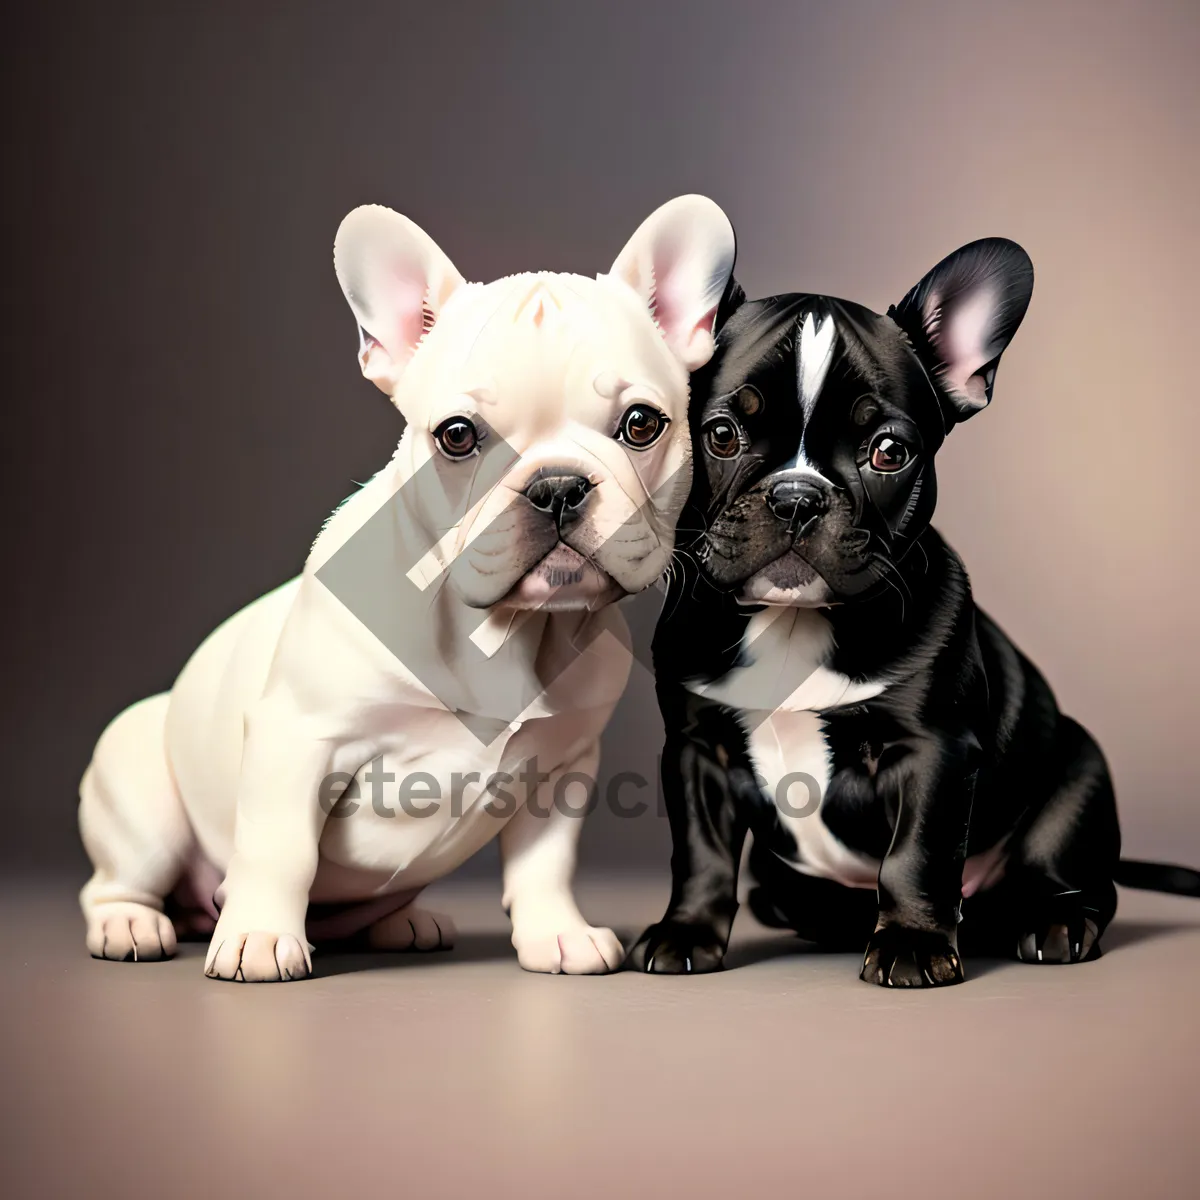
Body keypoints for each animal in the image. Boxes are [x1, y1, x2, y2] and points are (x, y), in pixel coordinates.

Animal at [79, 196, 734, 979]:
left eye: (641, 425)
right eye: (457, 436)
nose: (557, 486)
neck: (505, 630)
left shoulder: (562, 767)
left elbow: (544, 862)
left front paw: (558, 934)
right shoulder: (297, 737)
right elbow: (279, 849)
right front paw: (260, 938)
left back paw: (405, 923)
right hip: (141, 799)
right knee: (117, 881)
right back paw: (131, 924)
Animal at [633, 241, 1195, 984]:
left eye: (890, 452)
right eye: (721, 434)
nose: (796, 496)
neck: (793, 623)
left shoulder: (935, 750)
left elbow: (918, 853)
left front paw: (912, 943)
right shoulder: (697, 750)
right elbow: (701, 854)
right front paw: (686, 933)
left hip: (1078, 780)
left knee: (1077, 882)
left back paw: (1053, 923)